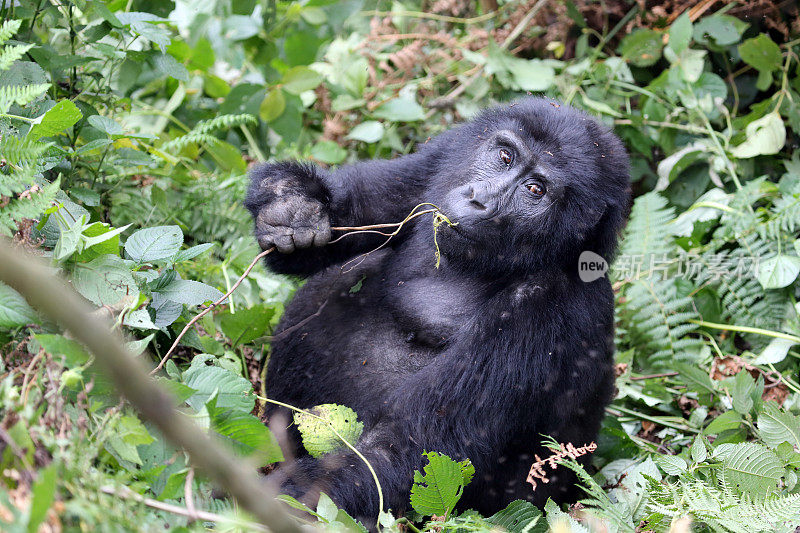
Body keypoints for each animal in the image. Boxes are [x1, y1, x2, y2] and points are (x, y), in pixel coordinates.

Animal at [241, 97, 628, 520]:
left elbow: (409, 448)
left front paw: (274, 501)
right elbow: (358, 210)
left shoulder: (552, 308)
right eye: (505, 156)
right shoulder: (443, 155)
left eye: (535, 189)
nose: (478, 199)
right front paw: (294, 203)